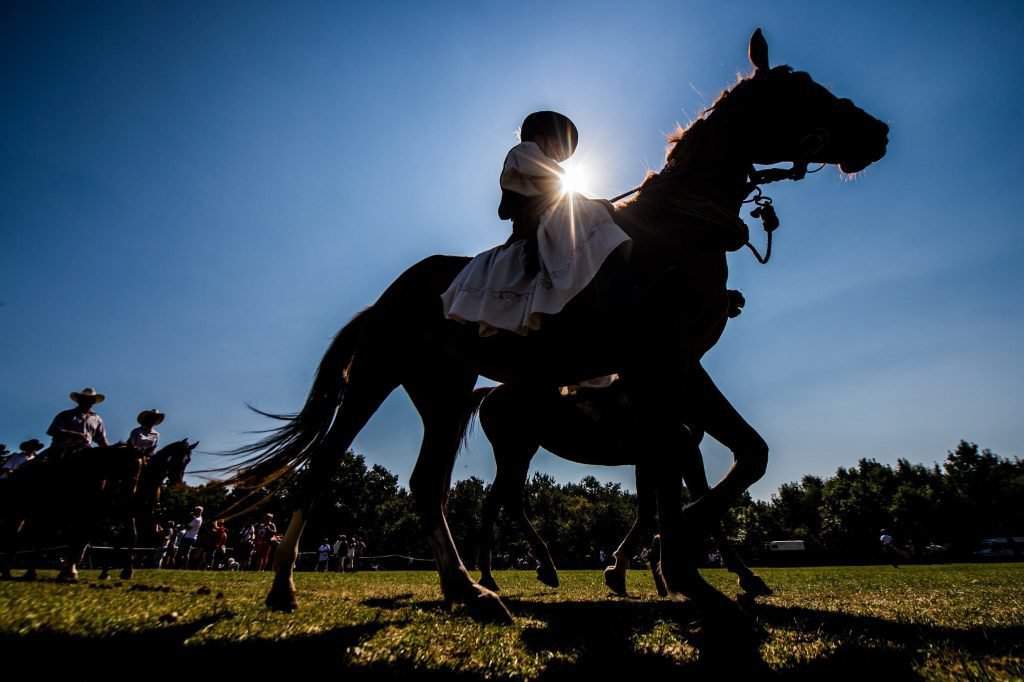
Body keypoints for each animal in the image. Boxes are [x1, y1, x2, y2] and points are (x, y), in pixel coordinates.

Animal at [468, 378, 770, 598]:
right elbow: (704, 510)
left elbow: (649, 512)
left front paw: (618, 570)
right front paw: (746, 575)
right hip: (514, 454)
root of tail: (491, 392)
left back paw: (528, 571)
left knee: (505, 502)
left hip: (519, 455)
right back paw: (495, 574)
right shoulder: (680, 452)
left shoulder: (655, 458)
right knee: (499, 502)